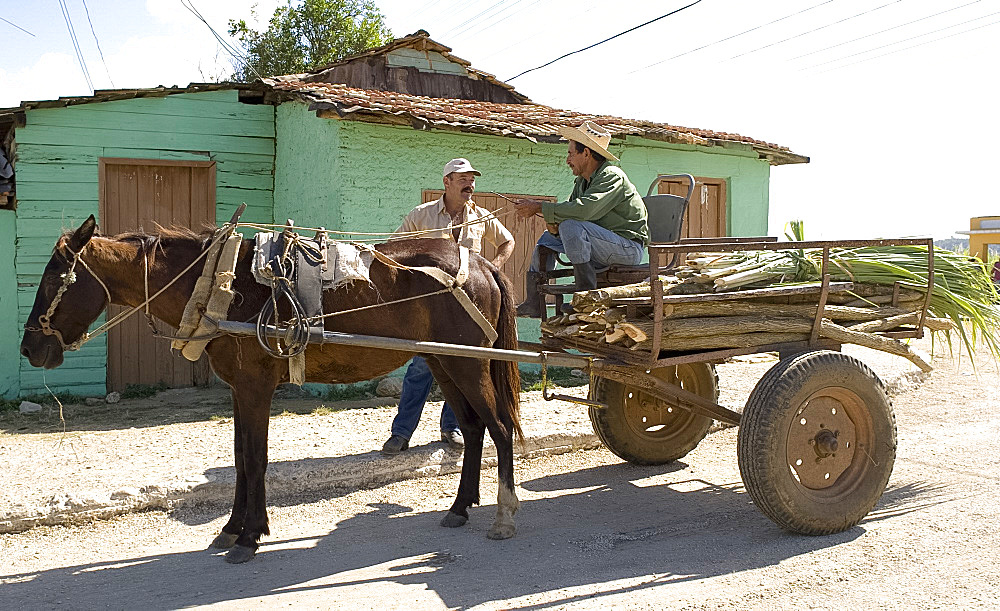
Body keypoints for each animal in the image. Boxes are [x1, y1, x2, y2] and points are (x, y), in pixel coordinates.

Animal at [19, 215, 524, 564]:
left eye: (55, 279)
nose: (28, 348)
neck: (220, 285)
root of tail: (481, 262)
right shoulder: (239, 389)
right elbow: (241, 458)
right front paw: (232, 528)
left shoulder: (257, 386)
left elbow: (257, 459)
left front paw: (248, 537)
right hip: (443, 362)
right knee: (474, 428)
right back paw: (460, 506)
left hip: (468, 363)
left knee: (500, 429)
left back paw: (504, 515)